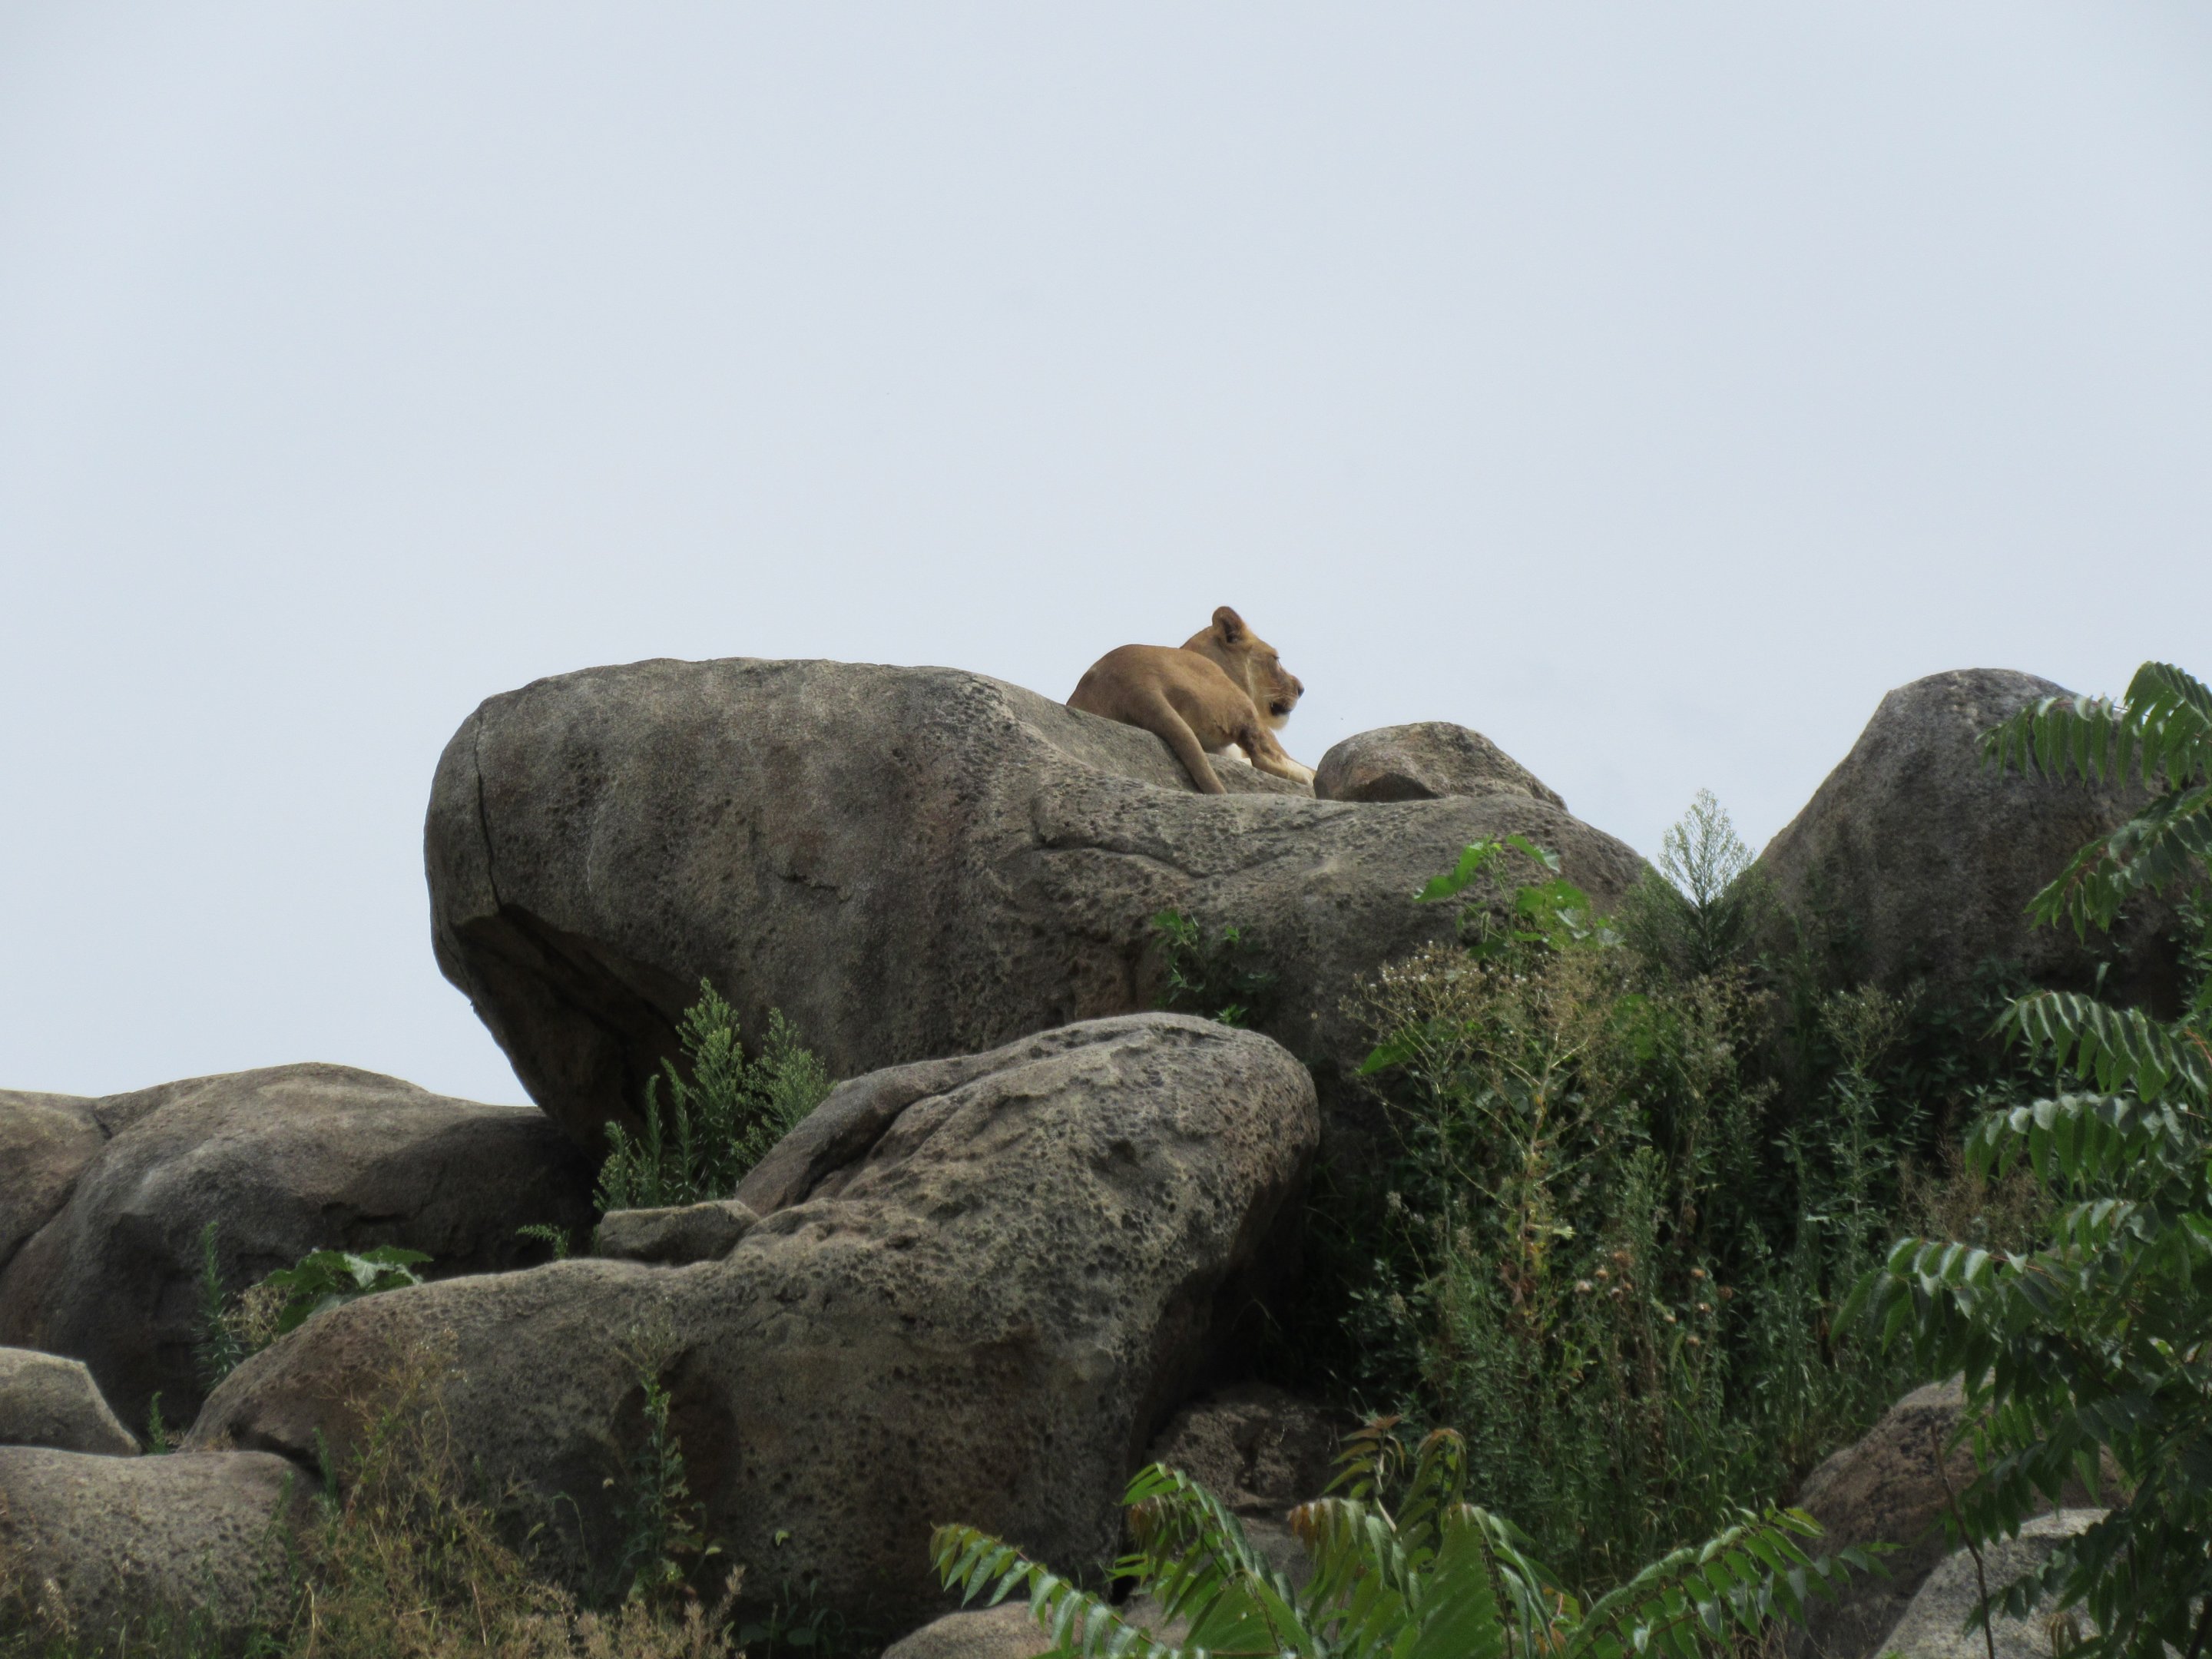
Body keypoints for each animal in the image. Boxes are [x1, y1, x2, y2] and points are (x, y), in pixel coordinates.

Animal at [1067, 606, 1315, 795]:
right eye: (1276, 659)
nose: (1301, 689)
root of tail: (1135, 684)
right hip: (1243, 706)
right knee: (1263, 758)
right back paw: (1307, 779)